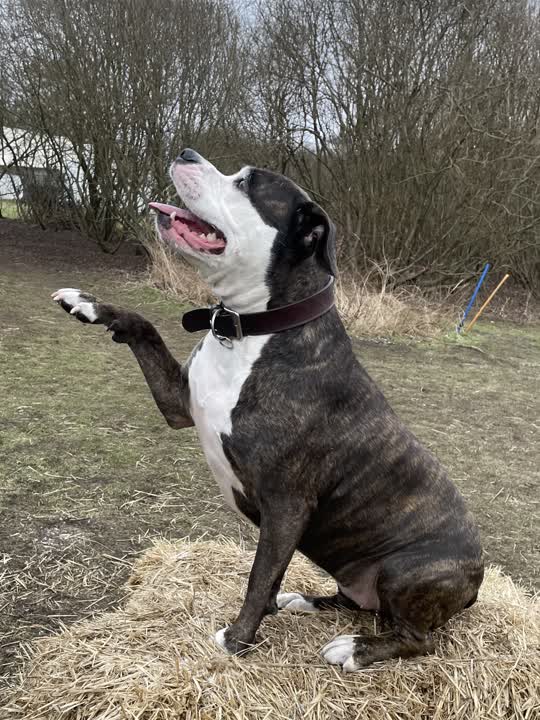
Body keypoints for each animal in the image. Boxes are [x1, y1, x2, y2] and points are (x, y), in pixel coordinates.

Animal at [52, 149, 483, 671]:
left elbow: (259, 578)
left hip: (405, 571)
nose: (187, 153)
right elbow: (145, 326)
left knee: (418, 638)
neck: (250, 330)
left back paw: (355, 648)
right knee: (356, 602)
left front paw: (237, 640)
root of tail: (479, 578)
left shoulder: (286, 505)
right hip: (354, 572)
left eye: (246, 184)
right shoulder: (180, 403)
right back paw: (306, 602)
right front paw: (90, 304)